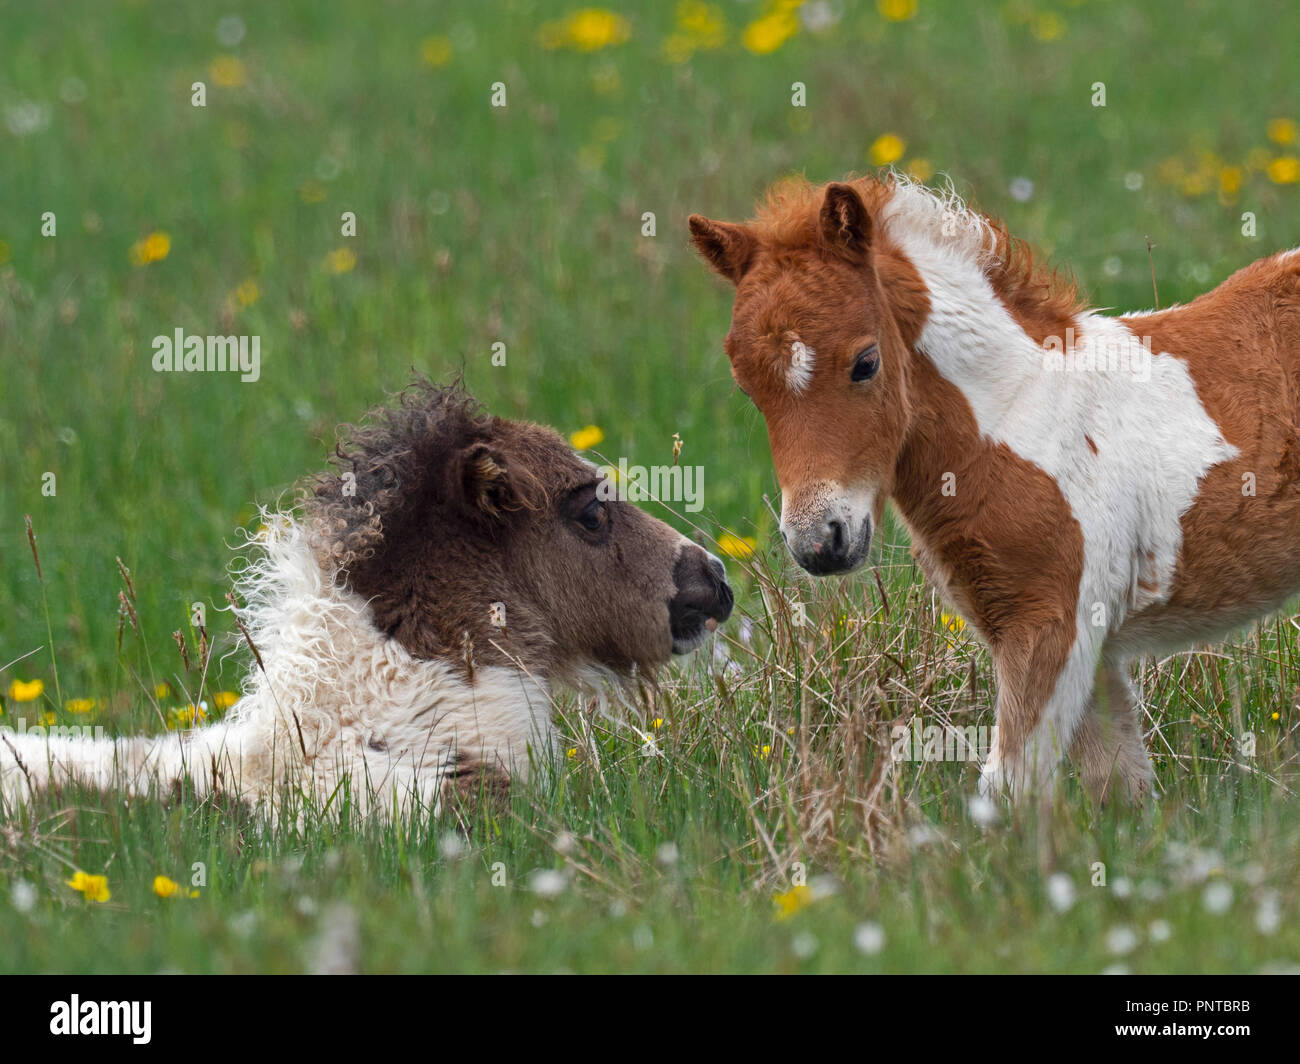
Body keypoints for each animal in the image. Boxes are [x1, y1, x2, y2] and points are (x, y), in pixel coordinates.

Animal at [689, 174, 1300, 804]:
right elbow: (1117, 788)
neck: (1019, 413)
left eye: (865, 363)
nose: (819, 543)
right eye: (747, 385)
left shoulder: (1052, 623)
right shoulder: (1081, 646)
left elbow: (1008, 789)